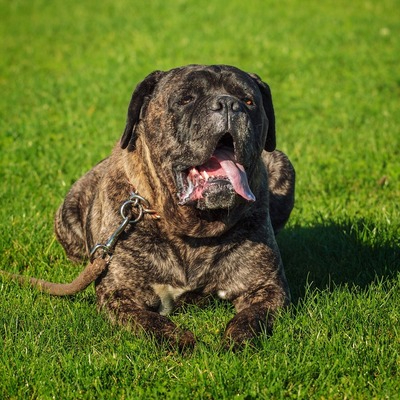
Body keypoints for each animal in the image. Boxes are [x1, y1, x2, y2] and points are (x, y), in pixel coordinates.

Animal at [4, 65, 296, 346]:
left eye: (248, 101)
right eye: (186, 99)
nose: (228, 104)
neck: (192, 228)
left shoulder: (267, 286)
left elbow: (252, 318)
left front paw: (236, 339)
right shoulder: (120, 293)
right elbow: (149, 321)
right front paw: (180, 339)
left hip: (282, 164)